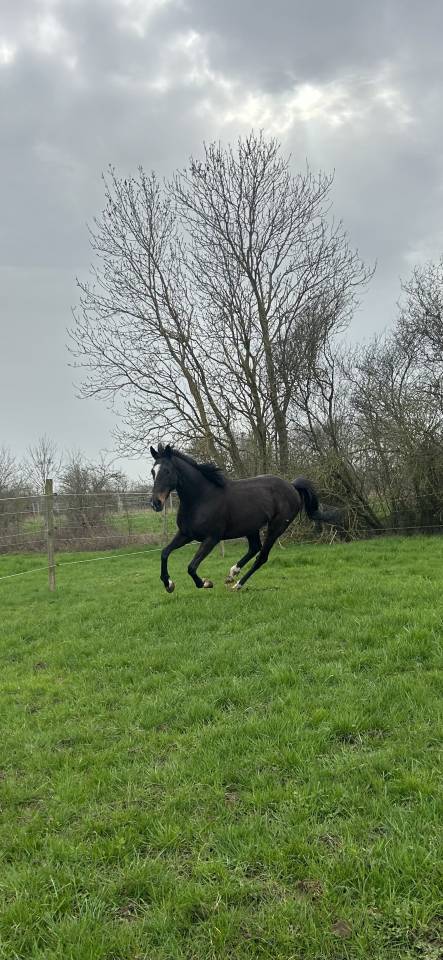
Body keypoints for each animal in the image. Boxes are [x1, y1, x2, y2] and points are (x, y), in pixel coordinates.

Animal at [150, 444, 324, 593]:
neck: (201, 498)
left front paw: (206, 583)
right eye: (153, 471)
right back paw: (232, 573)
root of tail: (292, 486)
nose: (155, 503)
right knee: (254, 548)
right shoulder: (186, 534)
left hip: (277, 527)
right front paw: (169, 584)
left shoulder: (212, 538)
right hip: (251, 527)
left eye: (167, 471)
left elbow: (191, 567)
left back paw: (237, 585)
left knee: (262, 557)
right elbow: (164, 553)